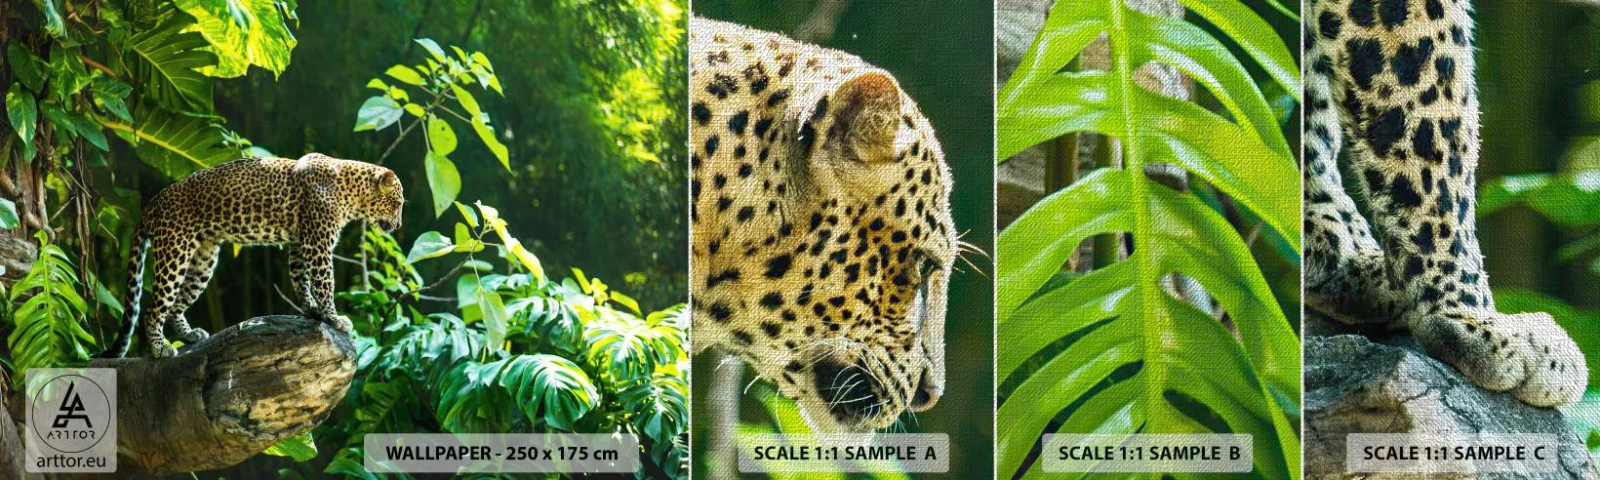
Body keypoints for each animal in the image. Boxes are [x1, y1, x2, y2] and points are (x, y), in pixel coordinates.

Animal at [101, 153, 404, 359]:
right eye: (398, 203)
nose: (399, 225)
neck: (351, 191)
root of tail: (152, 203)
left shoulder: (300, 243)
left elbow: (301, 280)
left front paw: (312, 310)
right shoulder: (318, 244)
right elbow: (324, 283)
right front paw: (334, 318)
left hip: (203, 259)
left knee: (176, 304)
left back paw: (189, 335)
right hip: (174, 252)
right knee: (153, 308)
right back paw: (159, 348)